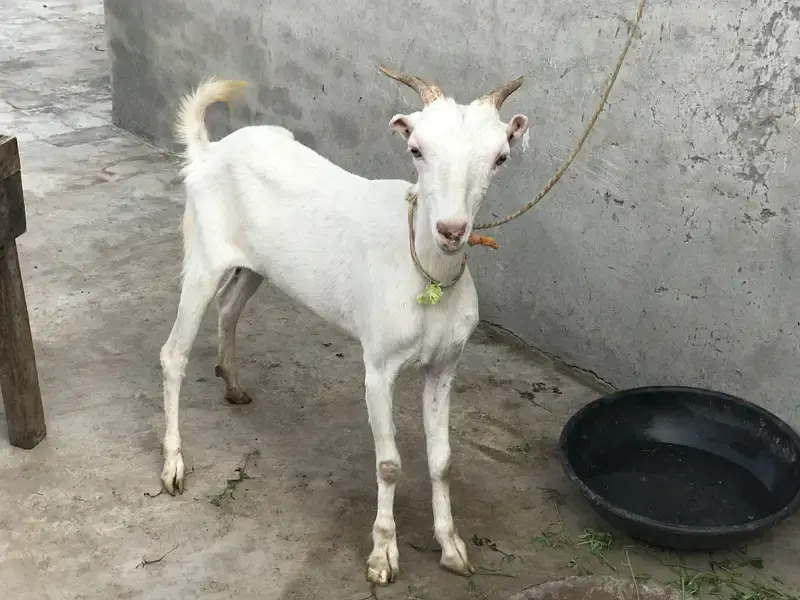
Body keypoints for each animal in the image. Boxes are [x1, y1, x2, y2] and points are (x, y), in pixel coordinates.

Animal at [158, 68, 529, 586]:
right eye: (416, 149)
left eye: (500, 157)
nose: (451, 230)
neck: (427, 277)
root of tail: (209, 152)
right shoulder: (378, 367)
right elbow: (389, 464)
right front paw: (382, 556)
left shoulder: (444, 367)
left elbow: (442, 462)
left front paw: (452, 548)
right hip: (204, 258)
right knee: (173, 353)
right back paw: (173, 465)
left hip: (257, 265)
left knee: (229, 308)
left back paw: (232, 383)